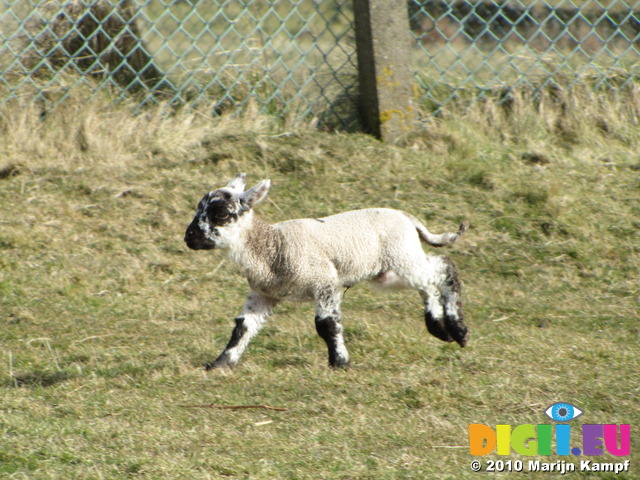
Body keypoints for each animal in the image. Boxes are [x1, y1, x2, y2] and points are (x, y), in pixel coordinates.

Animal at [182, 174, 468, 370]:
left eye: (221, 214)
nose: (189, 237)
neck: (272, 246)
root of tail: (406, 216)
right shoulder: (263, 294)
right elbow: (242, 327)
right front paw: (221, 363)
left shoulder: (325, 282)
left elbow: (326, 324)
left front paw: (339, 362)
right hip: (391, 271)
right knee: (427, 284)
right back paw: (439, 328)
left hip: (402, 256)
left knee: (444, 269)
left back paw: (458, 329)